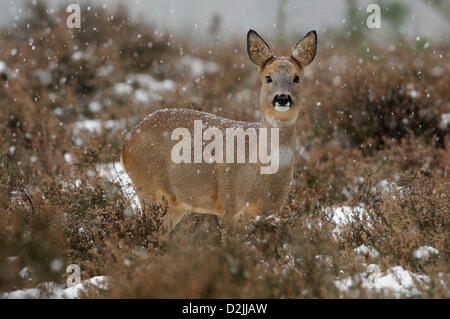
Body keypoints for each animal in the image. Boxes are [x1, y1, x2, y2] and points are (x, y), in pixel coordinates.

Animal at [119, 29, 316, 230]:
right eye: (268, 77)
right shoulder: (228, 202)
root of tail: (126, 143)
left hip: (174, 205)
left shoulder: (268, 212)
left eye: (296, 77)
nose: (282, 98)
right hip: (147, 187)